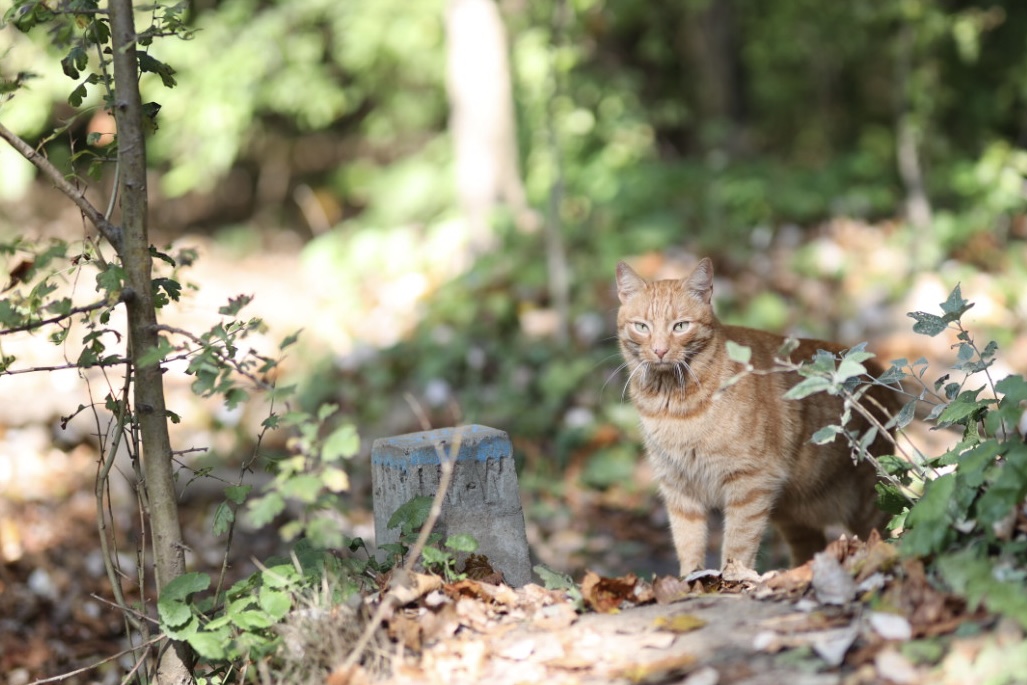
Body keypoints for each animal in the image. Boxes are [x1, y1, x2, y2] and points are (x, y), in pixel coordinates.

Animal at [612, 259, 895, 575]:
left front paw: (731, 578)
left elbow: (737, 545)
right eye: (642, 327)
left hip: (869, 502)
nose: (660, 350)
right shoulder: (678, 488)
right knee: (810, 547)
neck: (673, 406)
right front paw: (690, 579)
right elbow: (688, 544)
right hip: (793, 513)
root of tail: (878, 370)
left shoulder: (750, 483)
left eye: (680, 326)